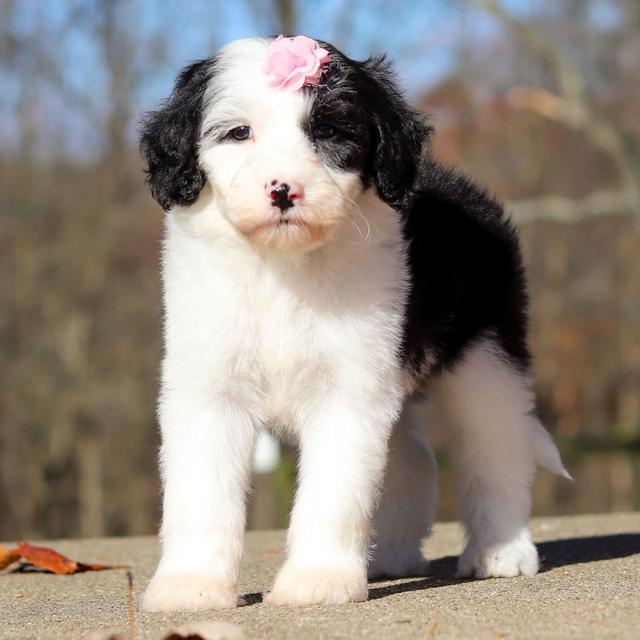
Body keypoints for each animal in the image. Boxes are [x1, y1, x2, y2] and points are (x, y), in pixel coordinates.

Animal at [140, 36, 568, 608]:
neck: (284, 270)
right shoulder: (209, 386)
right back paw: (392, 557)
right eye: (238, 132)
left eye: (328, 131)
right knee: (413, 459)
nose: (283, 190)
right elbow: (201, 492)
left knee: (497, 449)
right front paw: (191, 585)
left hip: (486, 359)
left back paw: (500, 552)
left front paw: (317, 581)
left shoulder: (347, 388)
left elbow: (334, 490)